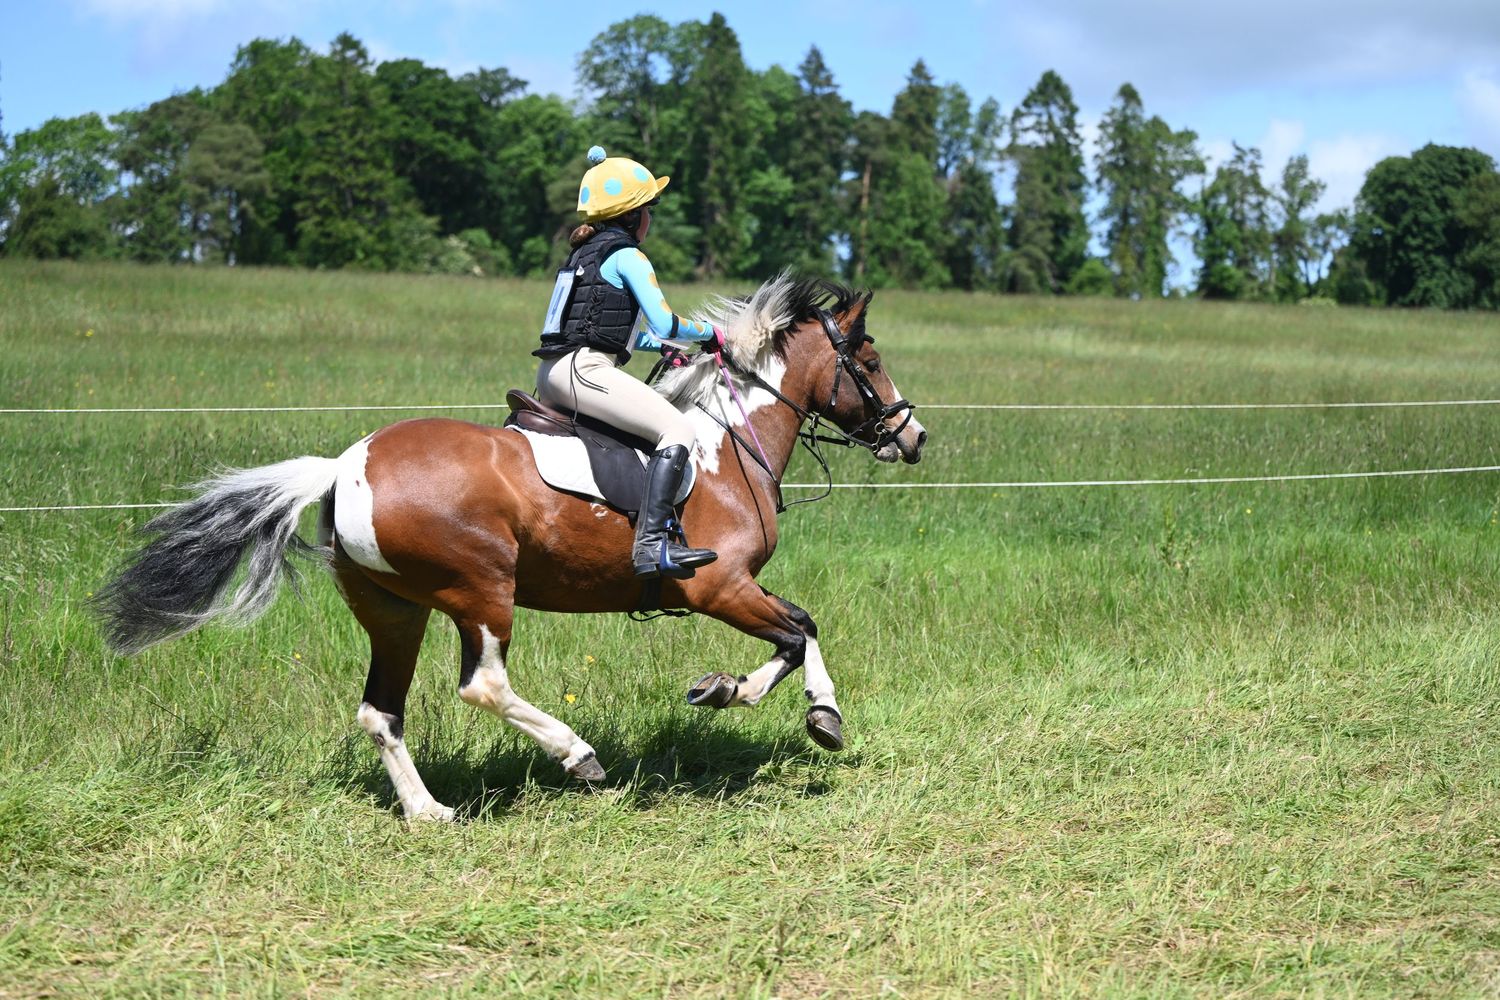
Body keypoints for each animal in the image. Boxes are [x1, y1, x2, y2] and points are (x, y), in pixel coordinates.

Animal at [94, 275, 928, 822]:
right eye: (870, 360)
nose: (913, 435)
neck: (726, 448)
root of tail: (343, 468)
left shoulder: (735, 591)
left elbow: (801, 626)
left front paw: (753, 696)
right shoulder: (716, 588)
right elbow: (798, 631)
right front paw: (780, 705)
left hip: (395, 611)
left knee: (380, 712)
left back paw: (429, 811)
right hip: (481, 590)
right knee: (483, 685)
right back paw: (579, 757)